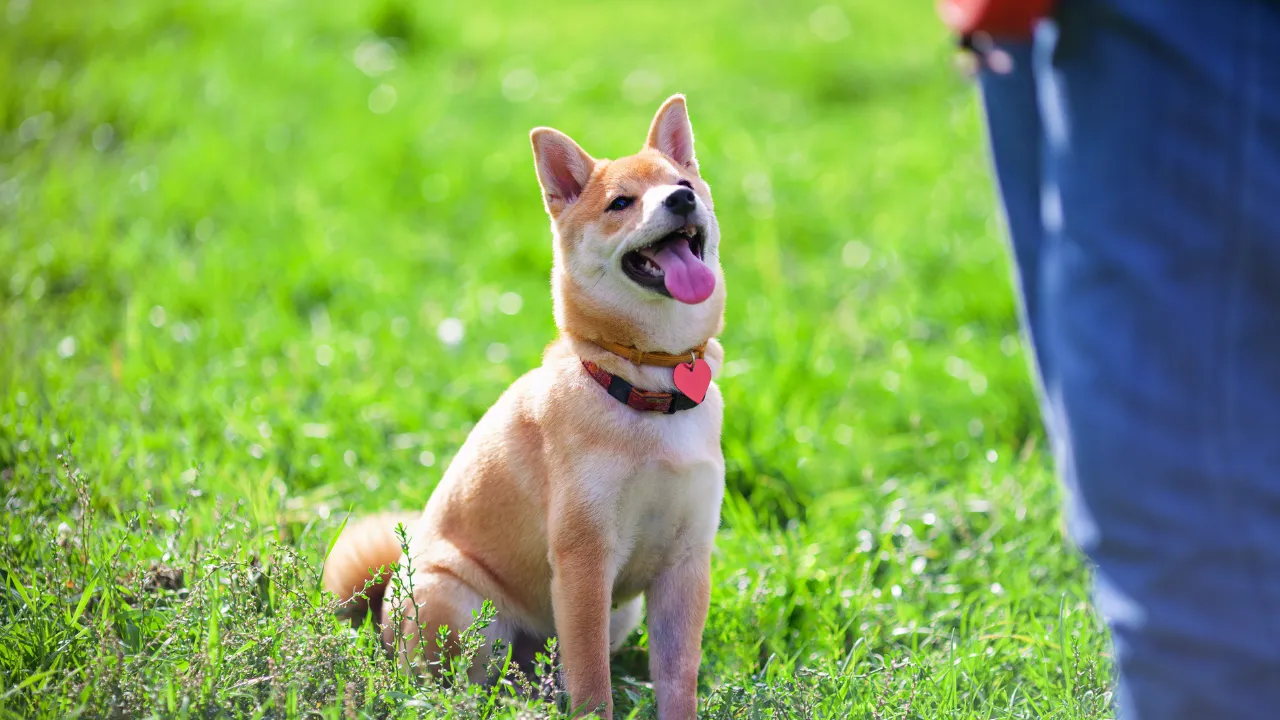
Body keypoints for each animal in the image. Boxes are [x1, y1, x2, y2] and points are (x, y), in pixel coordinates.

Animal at [325, 95, 727, 717]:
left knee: (542, 671)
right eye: (620, 203)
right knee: (452, 684)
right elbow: (591, 685)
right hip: (461, 606)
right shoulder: (584, 561)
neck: (648, 384)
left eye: (683, 184)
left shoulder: (685, 565)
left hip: (618, 614)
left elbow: (677, 677)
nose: (681, 200)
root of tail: (385, 613)